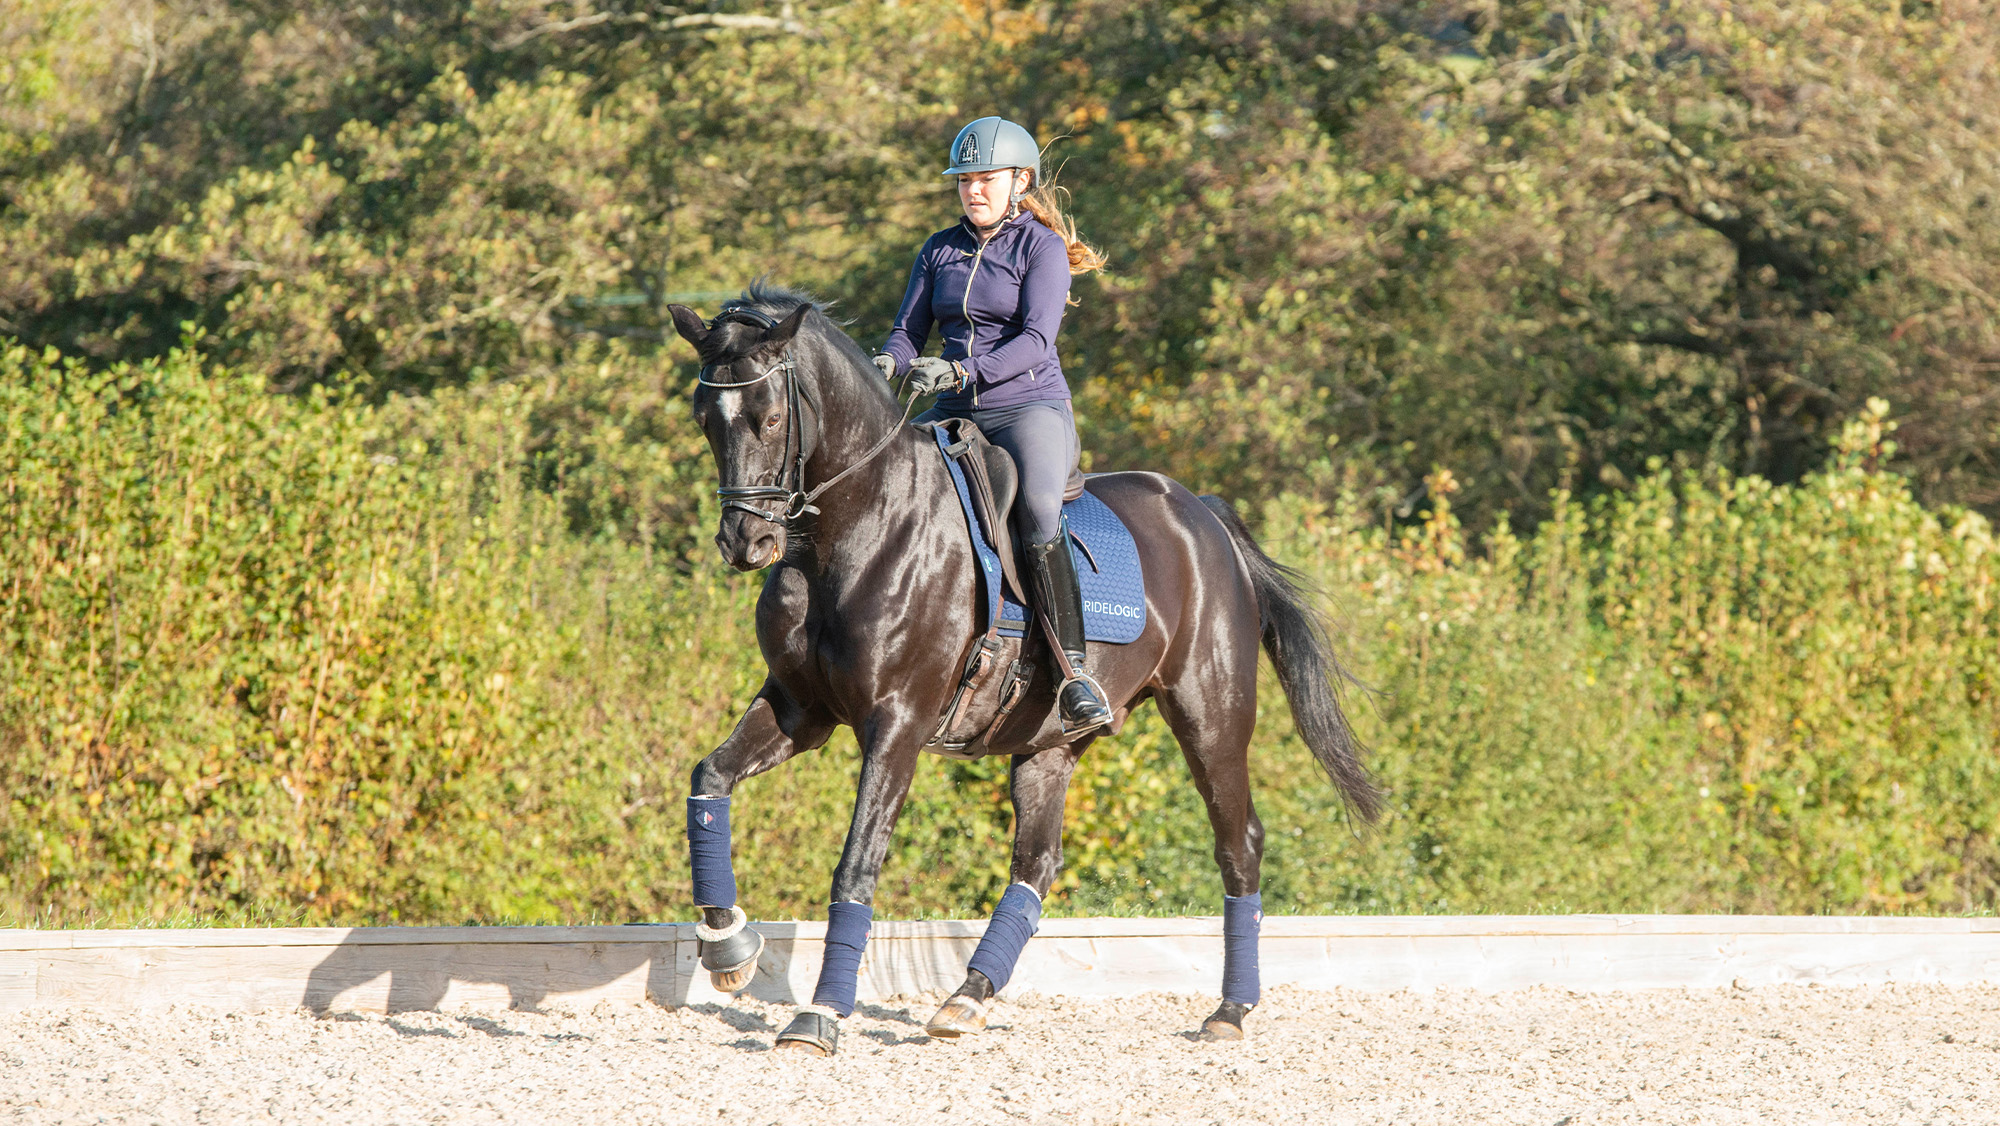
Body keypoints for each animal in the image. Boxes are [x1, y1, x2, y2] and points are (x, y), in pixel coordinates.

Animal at [665, 283, 1380, 1056]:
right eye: (706, 421)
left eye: (770, 417)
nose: (745, 541)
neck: (857, 528)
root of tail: (1205, 516)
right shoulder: (801, 709)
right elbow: (709, 779)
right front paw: (729, 949)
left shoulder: (897, 725)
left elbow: (856, 862)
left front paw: (819, 1015)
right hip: (1048, 742)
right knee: (1037, 861)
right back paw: (967, 998)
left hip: (1210, 717)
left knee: (1237, 844)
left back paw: (1230, 1010)